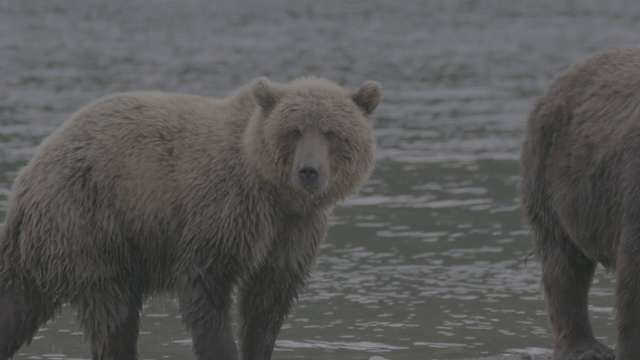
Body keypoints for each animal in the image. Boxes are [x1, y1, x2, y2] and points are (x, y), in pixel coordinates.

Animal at [0, 76, 380, 360]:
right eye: (294, 130)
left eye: (332, 133)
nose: (309, 171)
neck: (274, 192)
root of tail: (31, 169)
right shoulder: (225, 210)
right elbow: (206, 287)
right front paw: (222, 349)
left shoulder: (292, 232)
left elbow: (268, 300)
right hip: (92, 222)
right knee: (113, 313)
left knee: (17, 302)